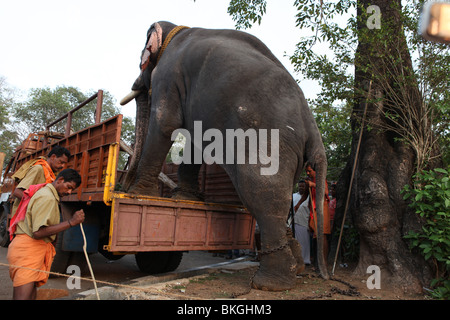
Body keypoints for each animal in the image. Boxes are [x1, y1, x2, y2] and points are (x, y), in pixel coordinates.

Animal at [121, 20, 328, 290]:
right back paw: (297, 267)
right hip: (292, 155)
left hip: (268, 143)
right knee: (280, 200)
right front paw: (185, 197)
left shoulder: (169, 75)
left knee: (261, 193)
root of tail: (313, 129)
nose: (122, 186)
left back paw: (268, 283)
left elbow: (166, 123)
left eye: (141, 62)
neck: (175, 29)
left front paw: (139, 194)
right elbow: (194, 140)